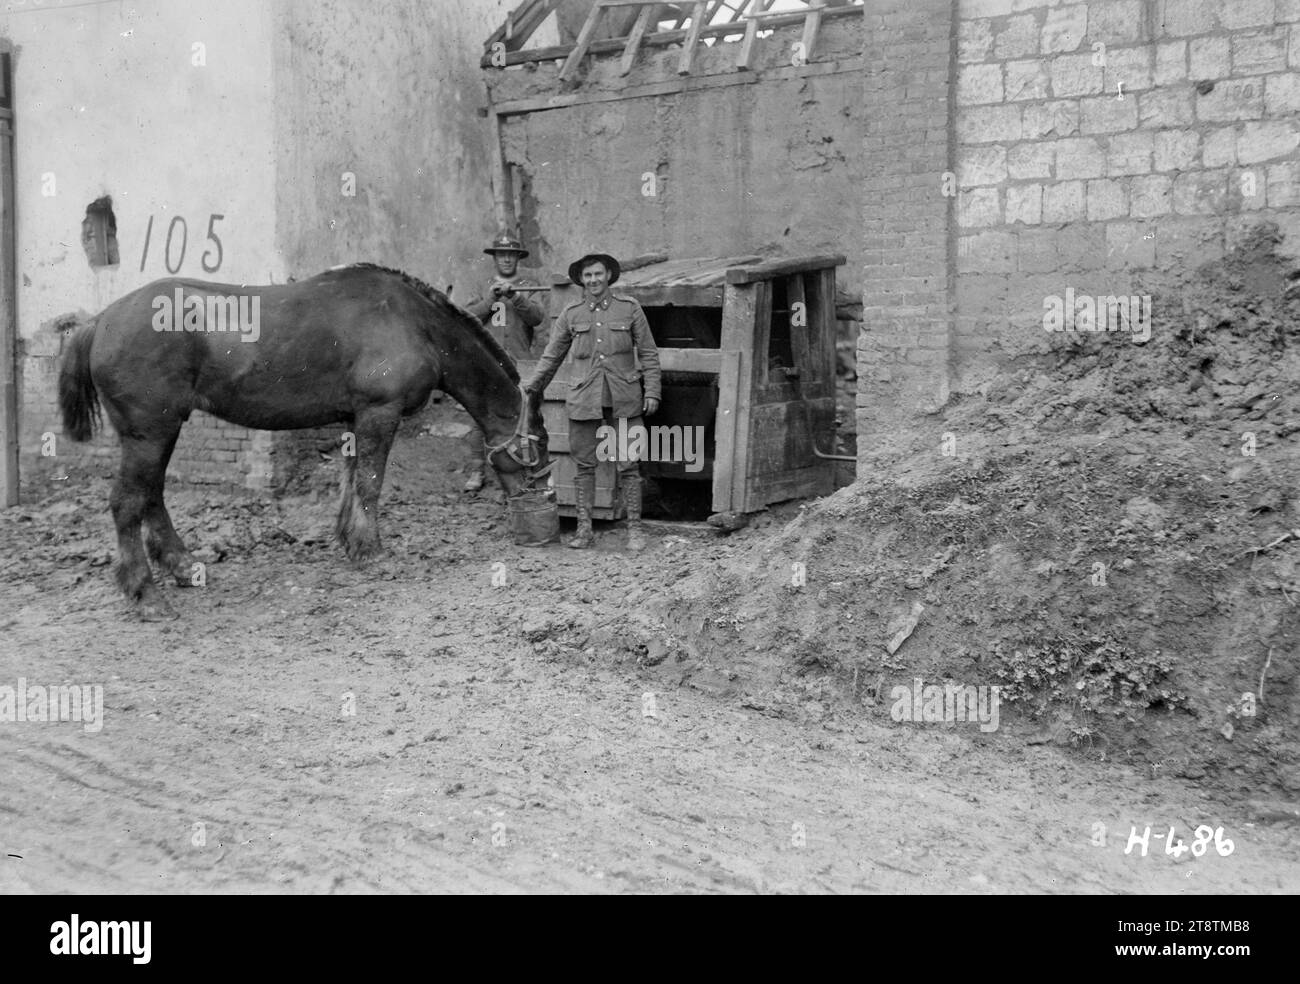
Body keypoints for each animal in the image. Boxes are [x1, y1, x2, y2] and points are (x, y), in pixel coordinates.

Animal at [58, 261, 546, 613]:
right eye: (537, 449)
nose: (542, 512)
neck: (413, 323)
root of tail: (101, 320)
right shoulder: (379, 413)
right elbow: (370, 482)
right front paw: (371, 550)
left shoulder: (354, 418)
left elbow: (351, 480)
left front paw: (350, 541)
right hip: (149, 433)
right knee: (128, 503)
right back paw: (145, 594)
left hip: (160, 432)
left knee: (152, 497)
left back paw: (181, 567)